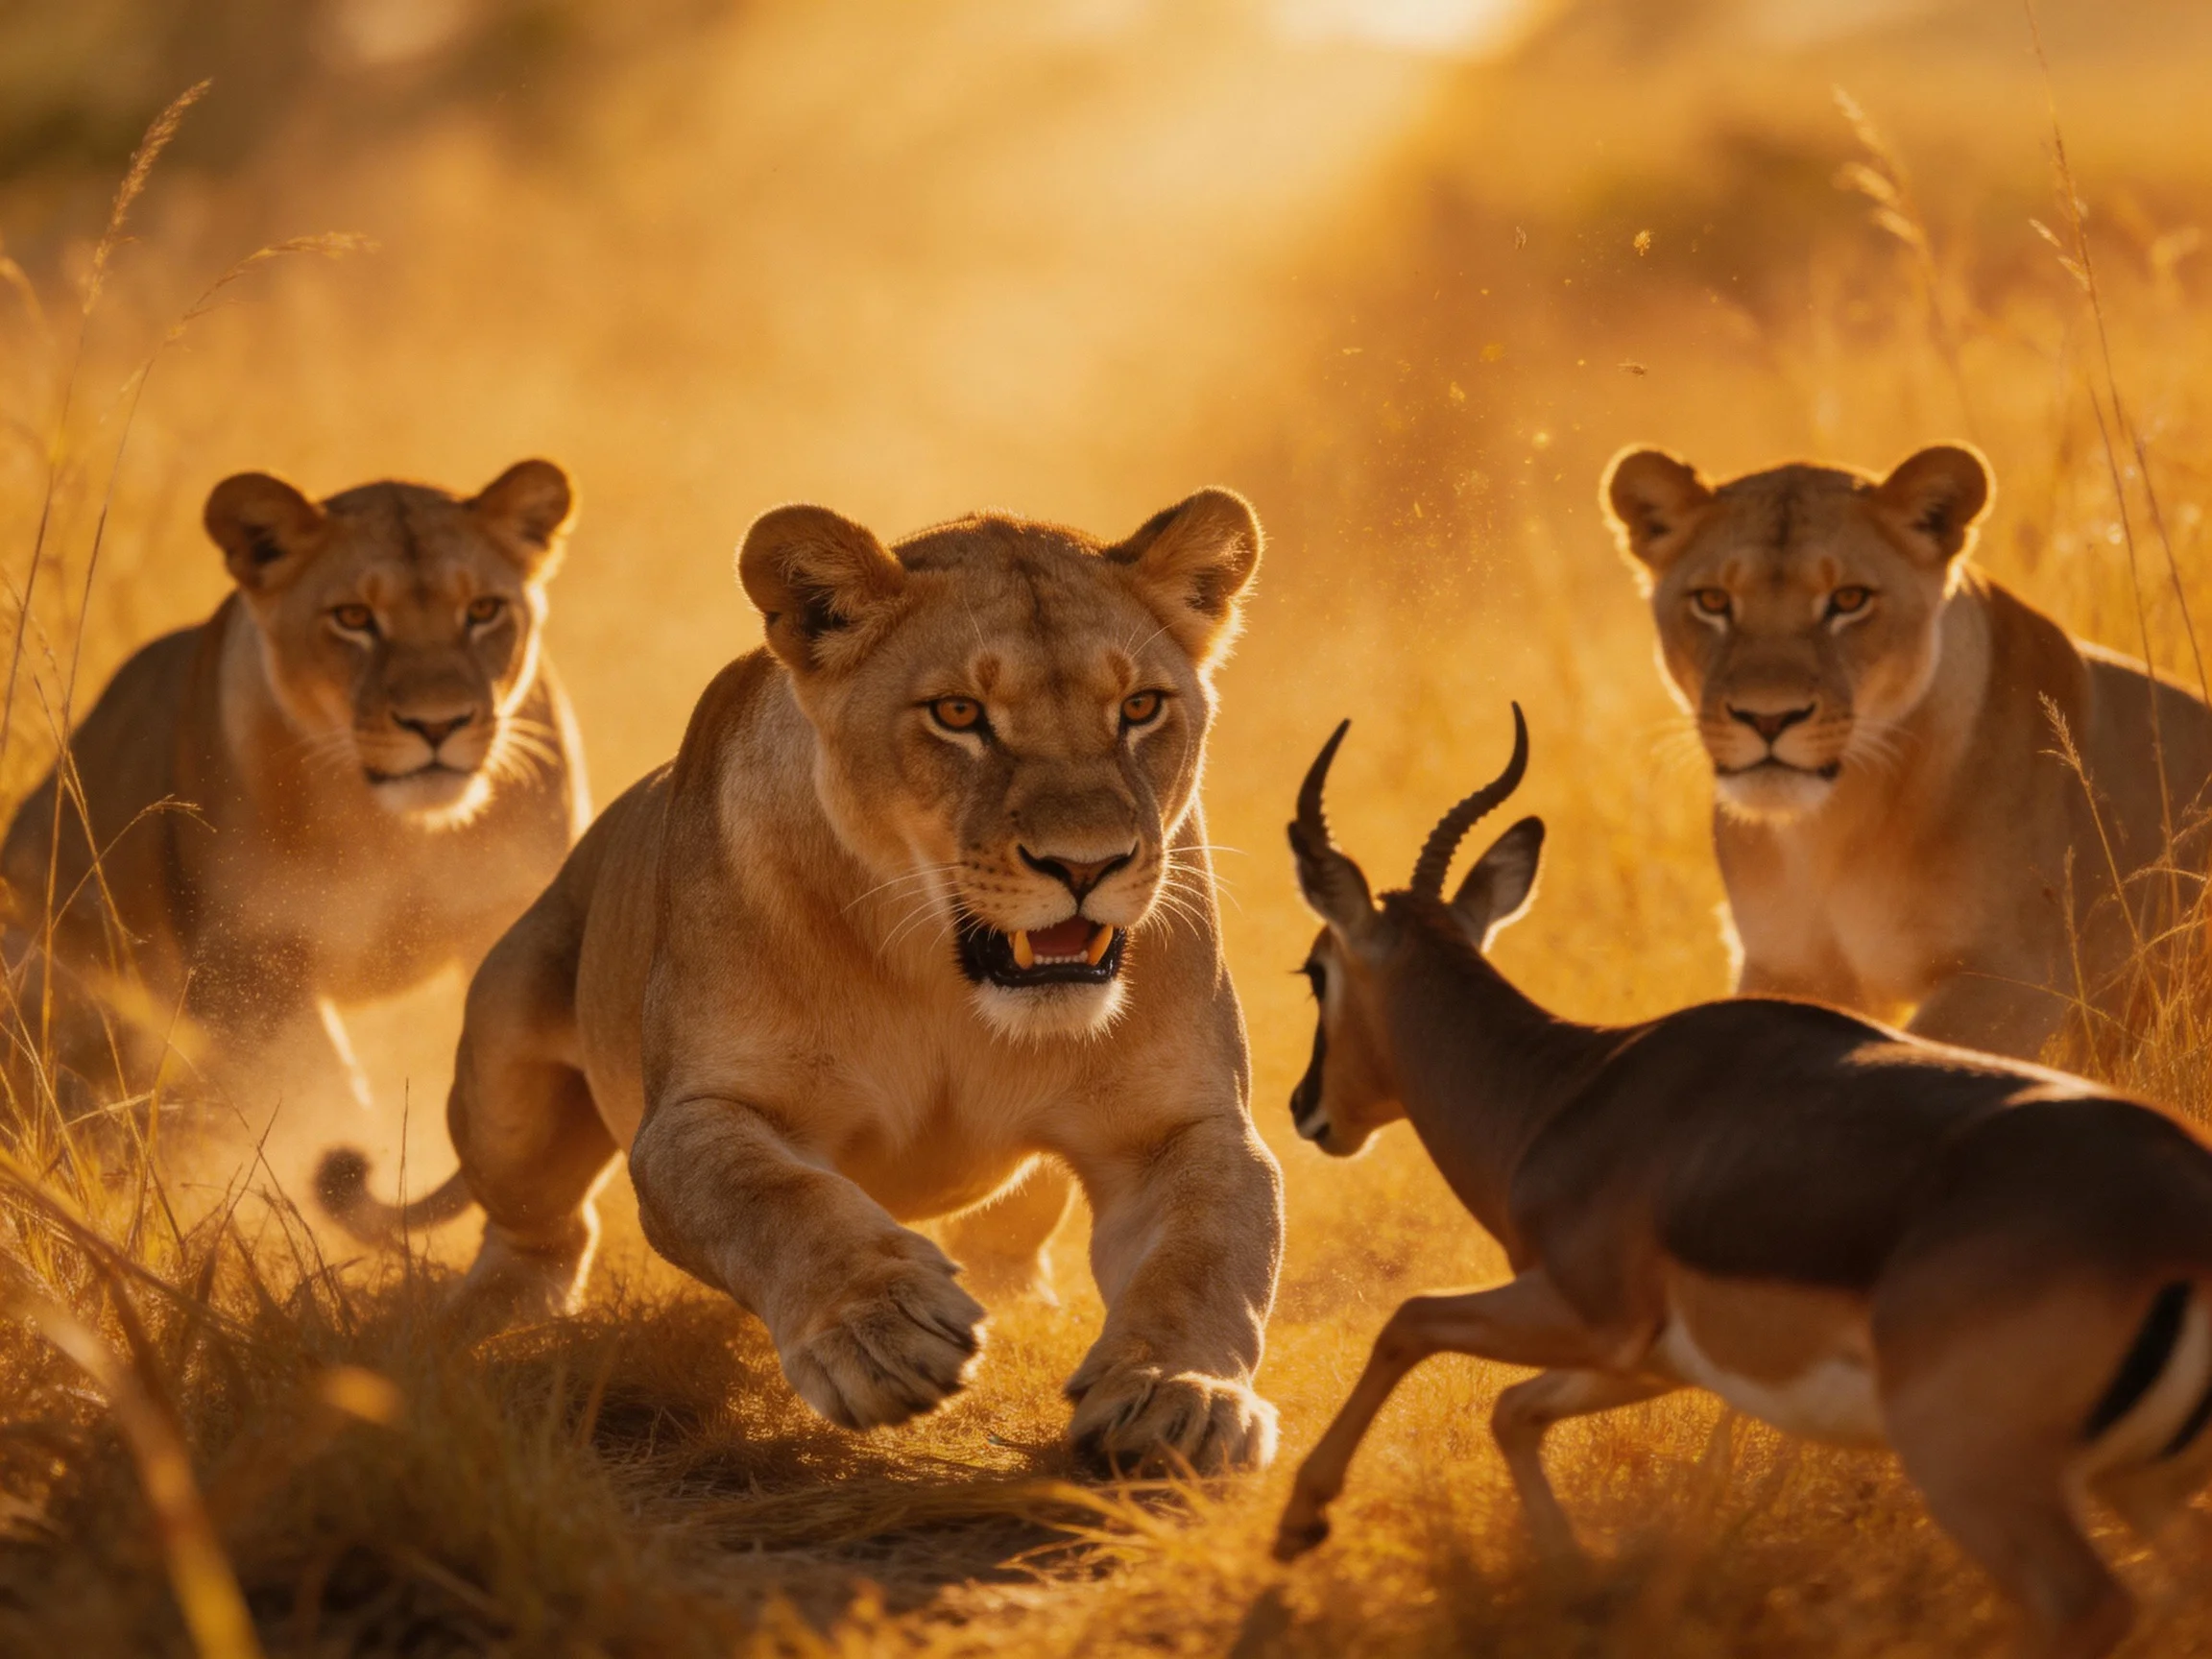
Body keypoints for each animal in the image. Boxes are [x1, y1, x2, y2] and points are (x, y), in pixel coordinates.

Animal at [1273, 706, 2212, 1659]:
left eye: (1316, 969)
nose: (1305, 1107)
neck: (1564, 1093)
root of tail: (2179, 1206)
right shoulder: (1654, 1361)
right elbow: (1513, 1411)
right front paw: (1574, 1584)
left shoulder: (1587, 1316)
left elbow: (1408, 1319)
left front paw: (1301, 1520)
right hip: (2142, 1482)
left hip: (1981, 1471)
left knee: (2090, 1606)